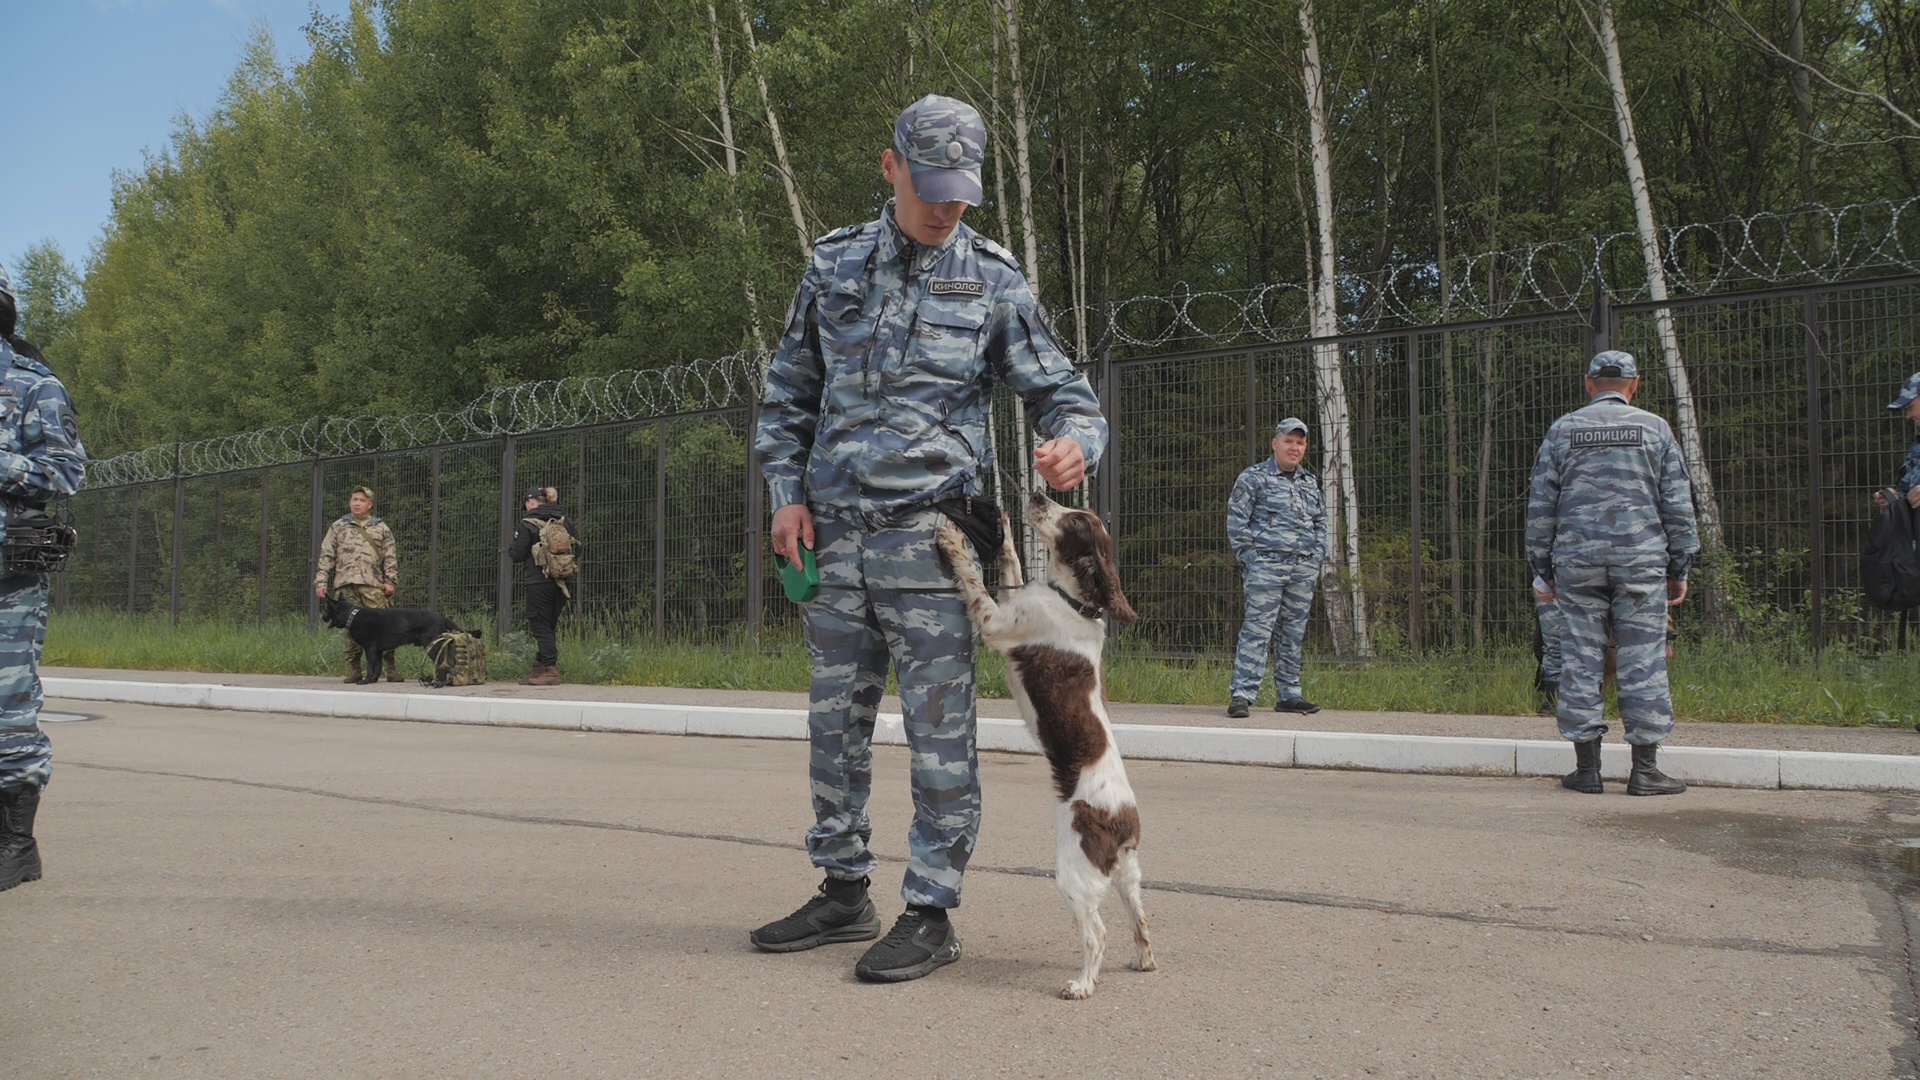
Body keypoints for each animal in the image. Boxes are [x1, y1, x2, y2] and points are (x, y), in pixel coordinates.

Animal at [318, 591, 476, 684]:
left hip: (432, 646)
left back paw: (439, 681)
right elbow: (378, 667)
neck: (352, 615)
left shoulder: (370, 649)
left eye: (326, 609)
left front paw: (366, 681)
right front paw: (373, 680)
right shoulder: (378, 651)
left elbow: (370, 666)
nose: (322, 617)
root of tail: (442, 617)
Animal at [933, 491, 1152, 999]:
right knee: (1140, 920)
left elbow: (974, 581)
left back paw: (1082, 984)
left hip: (1073, 872)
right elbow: (1012, 566)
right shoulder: (1013, 599)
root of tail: (1123, 821)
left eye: (1075, 520)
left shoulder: (996, 623)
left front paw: (952, 539)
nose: (1036, 493)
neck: (1073, 601)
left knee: (1098, 933)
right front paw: (1004, 526)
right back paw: (1142, 961)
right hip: (1127, 874)